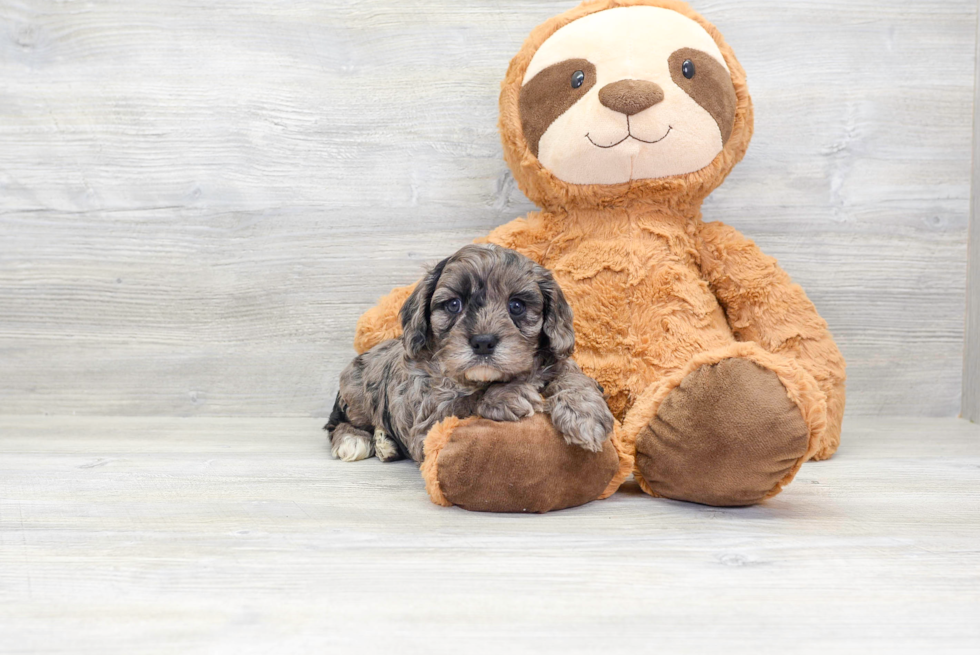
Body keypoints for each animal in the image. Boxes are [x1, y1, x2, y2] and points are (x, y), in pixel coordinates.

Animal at [326, 243, 612, 464]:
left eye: (516, 306)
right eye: (454, 304)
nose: (483, 342)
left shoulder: (556, 362)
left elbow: (572, 375)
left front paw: (585, 414)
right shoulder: (426, 417)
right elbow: (463, 402)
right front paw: (507, 395)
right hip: (356, 394)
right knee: (340, 422)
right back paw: (356, 440)